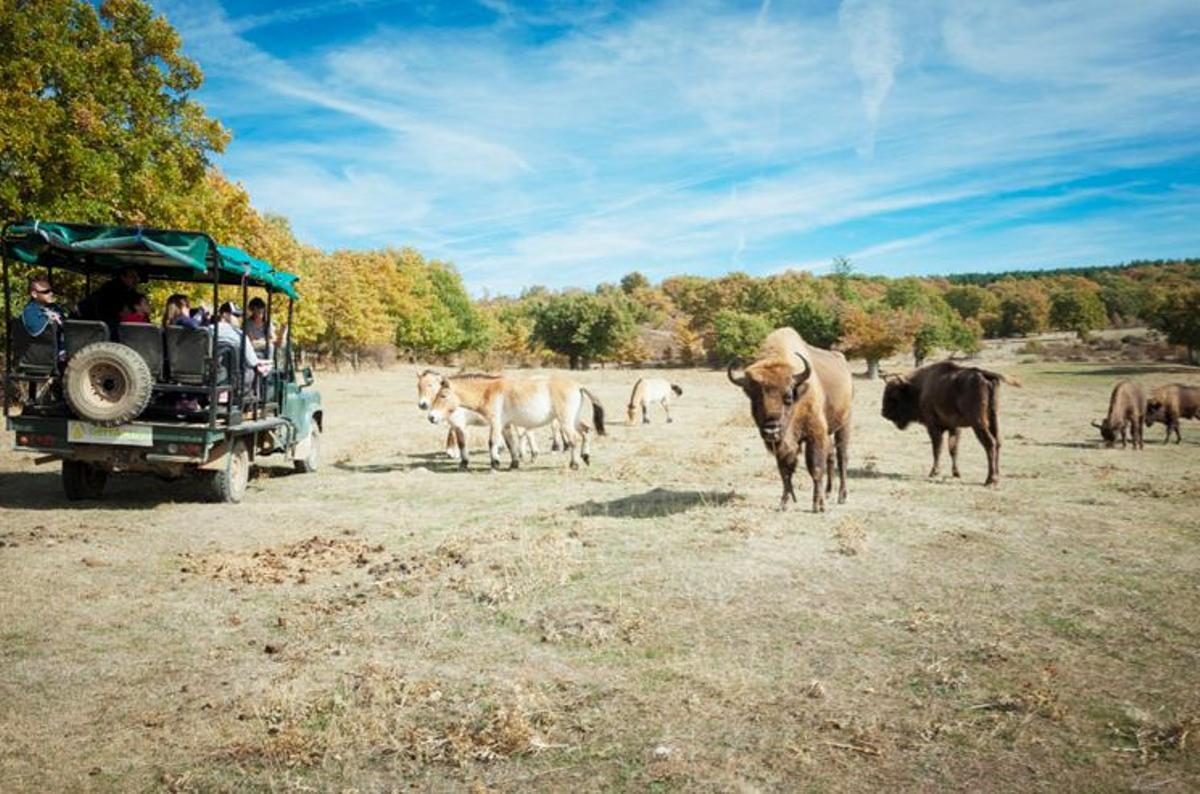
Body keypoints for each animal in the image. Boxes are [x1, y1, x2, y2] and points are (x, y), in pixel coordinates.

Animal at [427, 374, 604, 470]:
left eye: (443, 395)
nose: (431, 417)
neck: (488, 392)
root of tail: (578, 385)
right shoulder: (505, 425)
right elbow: (511, 443)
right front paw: (514, 463)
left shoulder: (496, 422)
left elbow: (492, 442)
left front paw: (495, 463)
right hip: (573, 419)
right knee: (586, 431)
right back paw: (586, 457)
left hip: (565, 421)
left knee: (573, 440)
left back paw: (574, 464)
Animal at [724, 326, 859, 513]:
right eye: (754, 397)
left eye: (788, 396)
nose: (771, 430)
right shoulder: (783, 445)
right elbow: (785, 472)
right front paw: (784, 503)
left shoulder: (815, 434)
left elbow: (816, 467)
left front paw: (818, 505)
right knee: (831, 457)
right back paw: (829, 492)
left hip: (844, 424)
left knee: (842, 457)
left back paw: (841, 496)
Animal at [883, 359, 1022, 484]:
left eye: (894, 395)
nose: (884, 413)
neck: (919, 388)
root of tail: (985, 374)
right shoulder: (955, 428)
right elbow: (953, 449)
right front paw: (956, 473)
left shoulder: (933, 427)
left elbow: (937, 448)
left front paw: (934, 472)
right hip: (994, 418)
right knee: (998, 442)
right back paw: (996, 477)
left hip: (978, 423)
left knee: (990, 443)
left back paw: (990, 480)